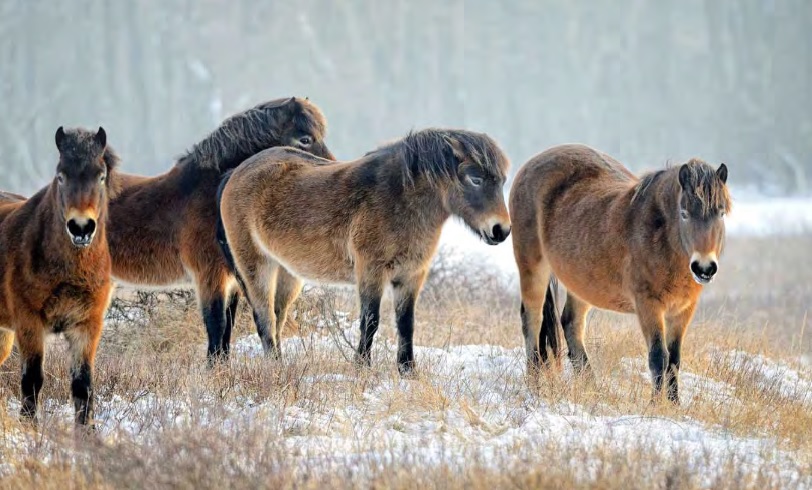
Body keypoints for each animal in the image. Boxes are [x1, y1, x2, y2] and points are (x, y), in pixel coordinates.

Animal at [0, 126, 120, 424]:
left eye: (101, 176)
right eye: (61, 175)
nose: (81, 227)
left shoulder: (86, 326)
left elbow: (82, 386)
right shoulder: (29, 322)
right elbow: (32, 381)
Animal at [105, 96, 334, 364]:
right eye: (305, 139)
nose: (332, 168)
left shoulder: (232, 280)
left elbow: (228, 328)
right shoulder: (209, 275)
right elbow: (216, 324)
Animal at [216, 128, 508, 374]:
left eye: (503, 181)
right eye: (475, 179)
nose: (501, 230)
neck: (398, 198)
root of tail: (236, 173)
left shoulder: (411, 276)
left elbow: (406, 324)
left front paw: (407, 370)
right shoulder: (371, 271)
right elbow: (371, 321)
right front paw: (362, 366)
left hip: (287, 272)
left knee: (277, 316)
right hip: (256, 265)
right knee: (263, 315)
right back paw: (275, 365)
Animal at [508, 145, 728, 402]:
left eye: (720, 213)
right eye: (684, 213)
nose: (704, 268)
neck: (659, 235)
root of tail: (531, 164)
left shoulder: (683, 310)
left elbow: (674, 360)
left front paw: (674, 405)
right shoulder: (648, 305)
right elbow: (658, 357)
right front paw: (655, 405)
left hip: (581, 284)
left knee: (571, 324)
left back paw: (592, 388)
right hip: (532, 266)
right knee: (532, 319)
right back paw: (534, 384)